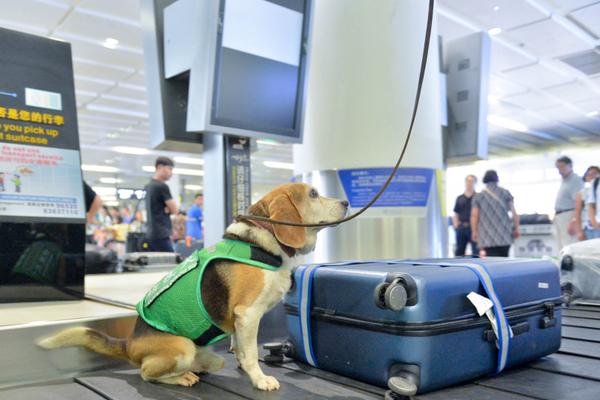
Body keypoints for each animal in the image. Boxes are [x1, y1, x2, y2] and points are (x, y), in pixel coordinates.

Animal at [38, 184, 346, 390]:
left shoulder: (240, 321)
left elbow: (240, 348)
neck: (261, 242)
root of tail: (130, 343)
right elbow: (250, 355)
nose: (345, 202)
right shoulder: (248, 314)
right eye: (314, 194)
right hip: (181, 347)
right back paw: (182, 376)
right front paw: (259, 379)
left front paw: (242, 363)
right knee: (146, 373)